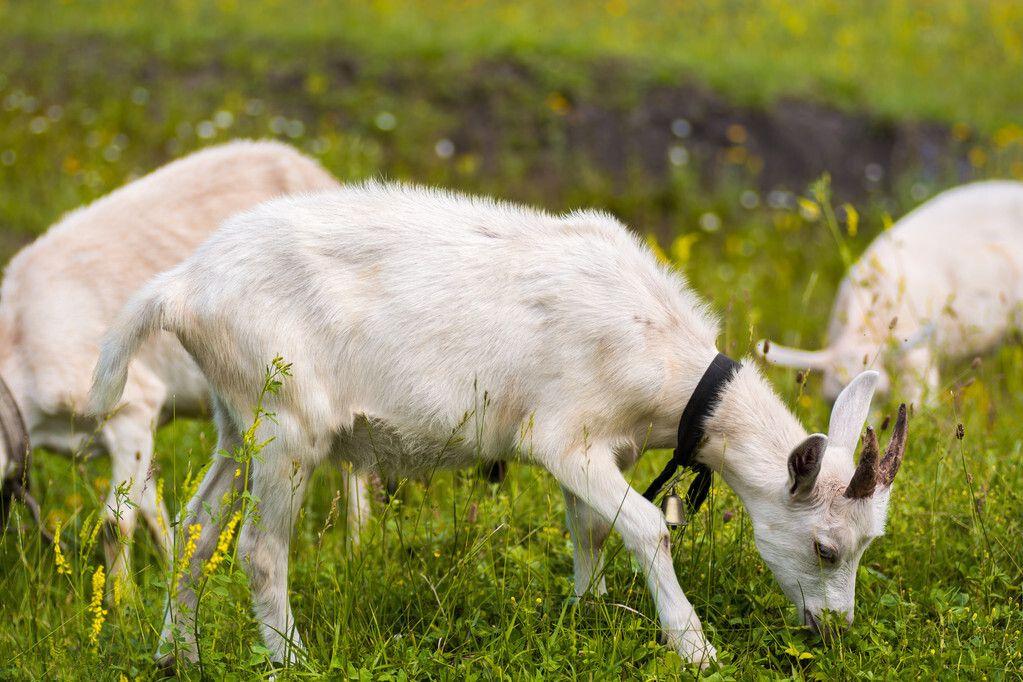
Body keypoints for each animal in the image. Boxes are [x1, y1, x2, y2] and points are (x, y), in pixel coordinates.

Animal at [0, 141, 368, 580]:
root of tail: (312, 168)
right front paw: (171, 571)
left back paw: (356, 548)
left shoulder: (130, 406)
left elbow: (115, 524)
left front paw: (123, 598)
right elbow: (153, 509)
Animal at [85, 180, 904, 666]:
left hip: (237, 419)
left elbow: (592, 529)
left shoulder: (605, 450)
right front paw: (692, 647)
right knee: (259, 548)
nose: (835, 630)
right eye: (827, 547)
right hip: (287, 422)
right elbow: (646, 527)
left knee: (196, 527)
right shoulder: (563, 438)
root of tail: (181, 287)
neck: (660, 352)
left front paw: (585, 613)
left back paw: (176, 655)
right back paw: (291, 660)